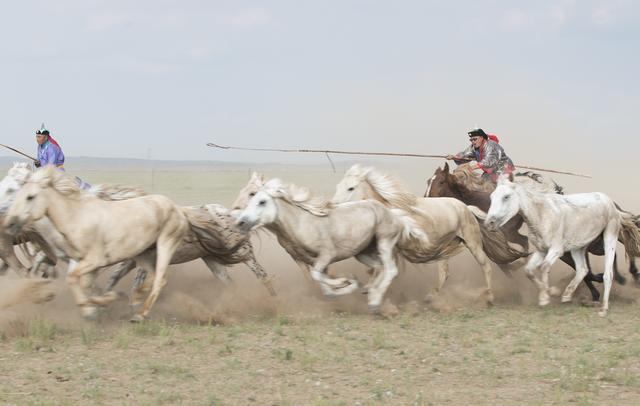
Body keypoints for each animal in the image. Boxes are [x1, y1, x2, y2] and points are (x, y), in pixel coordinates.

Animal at [2, 165, 188, 320]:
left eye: (29, 196)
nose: (9, 223)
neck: (75, 216)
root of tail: (175, 207)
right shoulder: (76, 259)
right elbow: (81, 283)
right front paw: (97, 305)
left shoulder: (94, 260)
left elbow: (75, 280)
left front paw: (92, 308)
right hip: (143, 253)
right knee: (153, 276)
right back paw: (136, 298)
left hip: (165, 244)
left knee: (158, 279)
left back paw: (139, 313)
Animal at [235, 178, 404, 310]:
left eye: (261, 201)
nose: (240, 222)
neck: (302, 223)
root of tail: (393, 213)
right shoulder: (310, 259)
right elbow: (320, 280)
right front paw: (347, 284)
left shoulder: (327, 255)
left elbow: (317, 275)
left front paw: (346, 282)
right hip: (362, 253)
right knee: (379, 267)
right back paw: (370, 291)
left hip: (385, 242)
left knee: (391, 270)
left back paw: (374, 302)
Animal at [330, 163, 524, 302]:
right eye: (339, 185)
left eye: (350, 188)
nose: (333, 205)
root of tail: (466, 207)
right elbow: (374, 267)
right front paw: (366, 286)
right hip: (447, 246)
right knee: (445, 272)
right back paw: (431, 297)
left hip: (473, 242)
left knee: (486, 265)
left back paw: (490, 297)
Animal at [484, 173, 640, 316]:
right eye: (491, 197)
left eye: (506, 197)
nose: (489, 223)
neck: (542, 214)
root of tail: (611, 204)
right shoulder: (541, 251)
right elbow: (528, 270)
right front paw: (548, 295)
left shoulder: (556, 250)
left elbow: (544, 267)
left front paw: (548, 295)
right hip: (579, 247)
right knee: (583, 270)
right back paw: (567, 295)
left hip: (609, 239)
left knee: (608, 274)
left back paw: (604, 308)